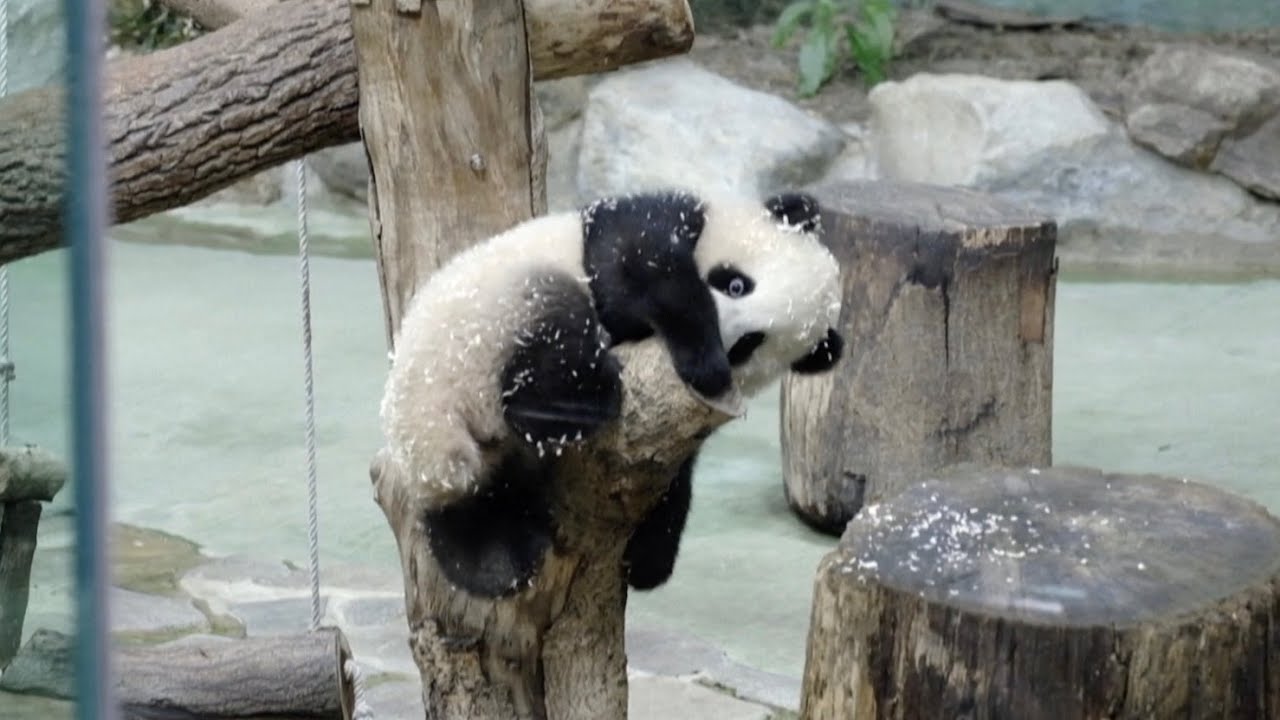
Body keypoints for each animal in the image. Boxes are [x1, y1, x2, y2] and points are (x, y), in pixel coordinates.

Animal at [379, 188, 844, 597]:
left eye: (750, 343)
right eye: (735, 285)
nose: (723, 339)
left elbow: (675, 476)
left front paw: (648, 557)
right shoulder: (655, 220)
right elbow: (636, 266)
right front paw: (704, 358)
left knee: (475, 504)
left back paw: (493, 559)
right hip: (481, 333)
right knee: (561, 328)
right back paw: (581, 398)